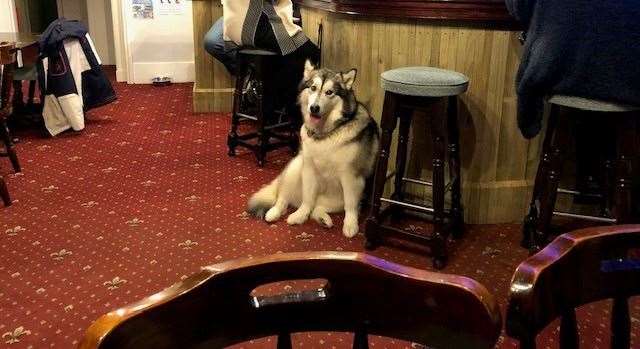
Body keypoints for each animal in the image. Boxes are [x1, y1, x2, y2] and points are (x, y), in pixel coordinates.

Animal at [248, 61, 380, 238]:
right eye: (313, 88)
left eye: (329, 92)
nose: (314, 108)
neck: (326, 134)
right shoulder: (309, 168)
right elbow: (307, 199)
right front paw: (300, 214)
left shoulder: (351, 176)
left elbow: (351, 205)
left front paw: (351, 224)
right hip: (296, 167)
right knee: (284, 198)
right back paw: (275, 212)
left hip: (336, 200)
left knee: (317, 207)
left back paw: (324, 219)